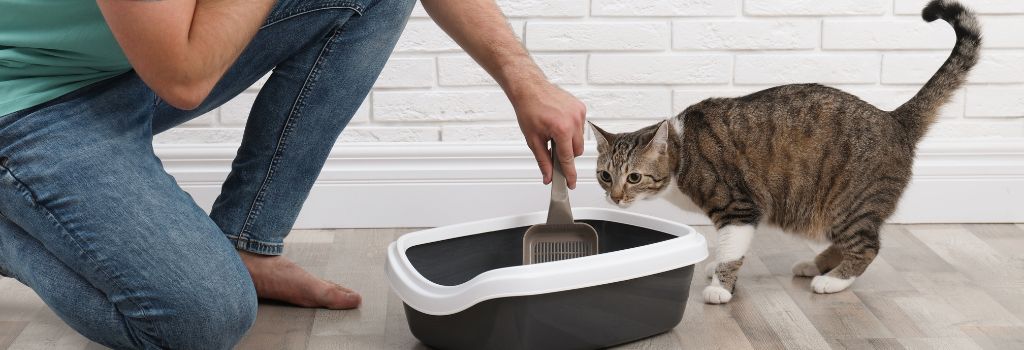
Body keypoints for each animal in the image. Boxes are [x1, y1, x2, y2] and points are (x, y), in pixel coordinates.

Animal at [593, 0, 983, 302]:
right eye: (605, 176)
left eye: (634, 177)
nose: (615, 197)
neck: (682, 151)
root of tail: (895, 118)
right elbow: (726, 249)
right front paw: (716, 267)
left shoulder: (738, 207)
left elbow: (731, 251)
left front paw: (720, 287)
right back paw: (815, 264)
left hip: (847, 203)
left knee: (867, 245)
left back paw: (832, 280)